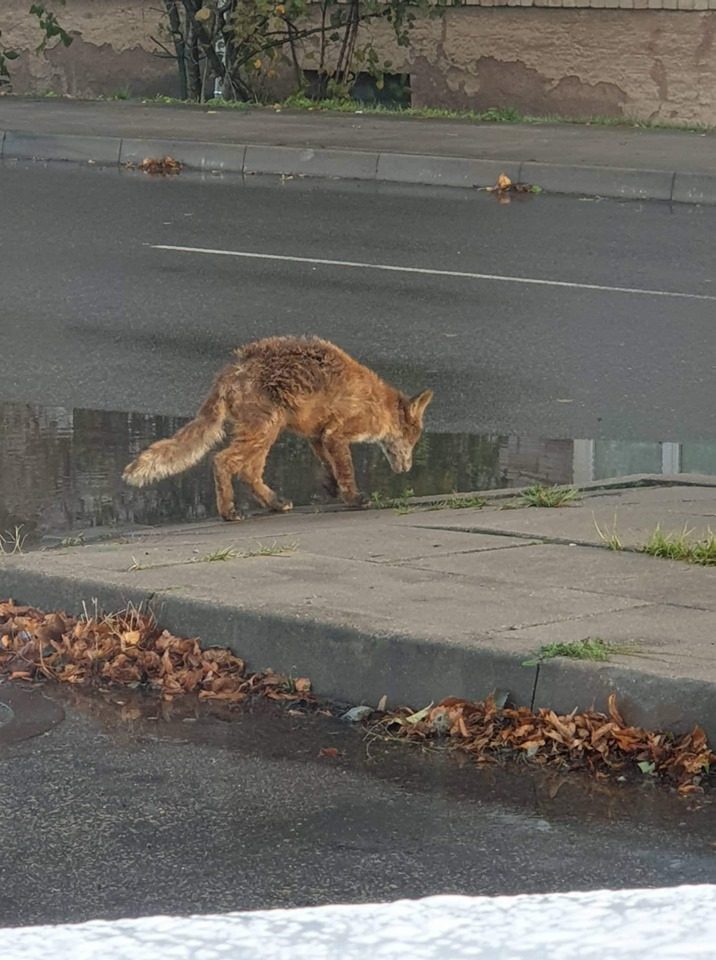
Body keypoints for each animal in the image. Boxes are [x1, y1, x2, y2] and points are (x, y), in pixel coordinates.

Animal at [121, 334, 430, 520]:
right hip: (265, 429)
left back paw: (275, 503)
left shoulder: (318, 435)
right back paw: (229, 511)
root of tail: (230, 370)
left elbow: (329, 466)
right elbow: (346, 470)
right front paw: (354, 498)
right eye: (412, 441)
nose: (407, 468)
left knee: (248, 472)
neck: (380, 405)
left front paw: (331, 488)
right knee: (223, 461)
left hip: (268, 431)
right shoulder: (336, 434)